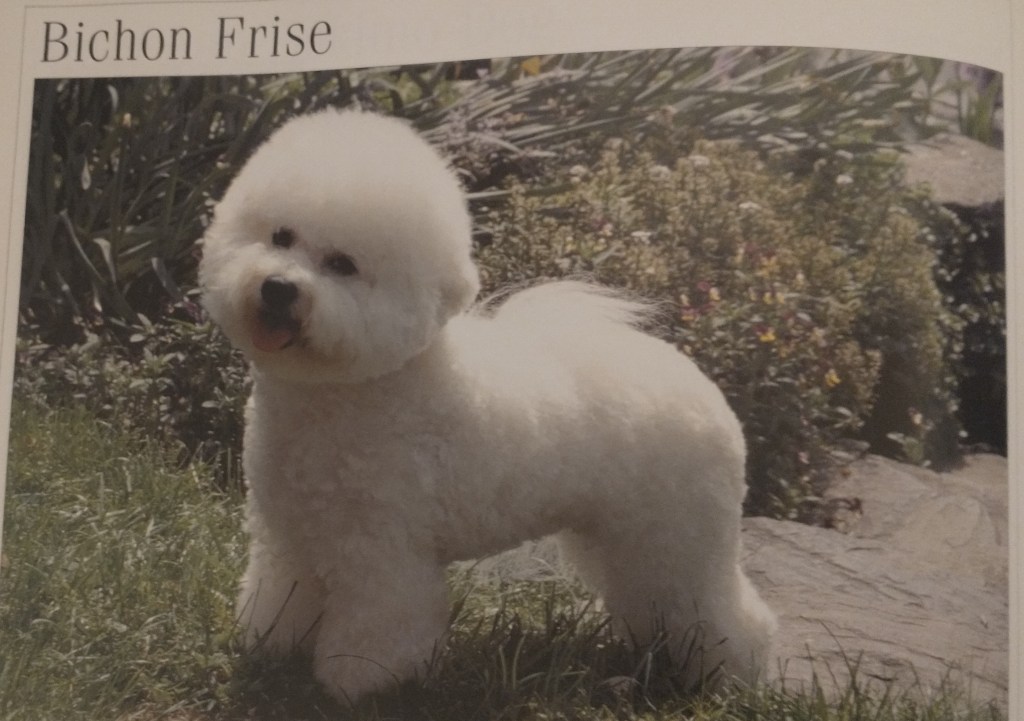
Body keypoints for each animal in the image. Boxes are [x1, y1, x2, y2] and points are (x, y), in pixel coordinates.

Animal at [199, 109, 775, 702]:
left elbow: (379, 622)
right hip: (623, 537)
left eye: (343, 264)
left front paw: (362, 681)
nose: (277, 288)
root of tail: (699, 382)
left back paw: (731, 678)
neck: (356, 391)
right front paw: (270, 645)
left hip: (679, 538)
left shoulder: (384, 552)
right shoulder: (290, 534)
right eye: (280, 236)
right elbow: (281, 596)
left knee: (722, 611)